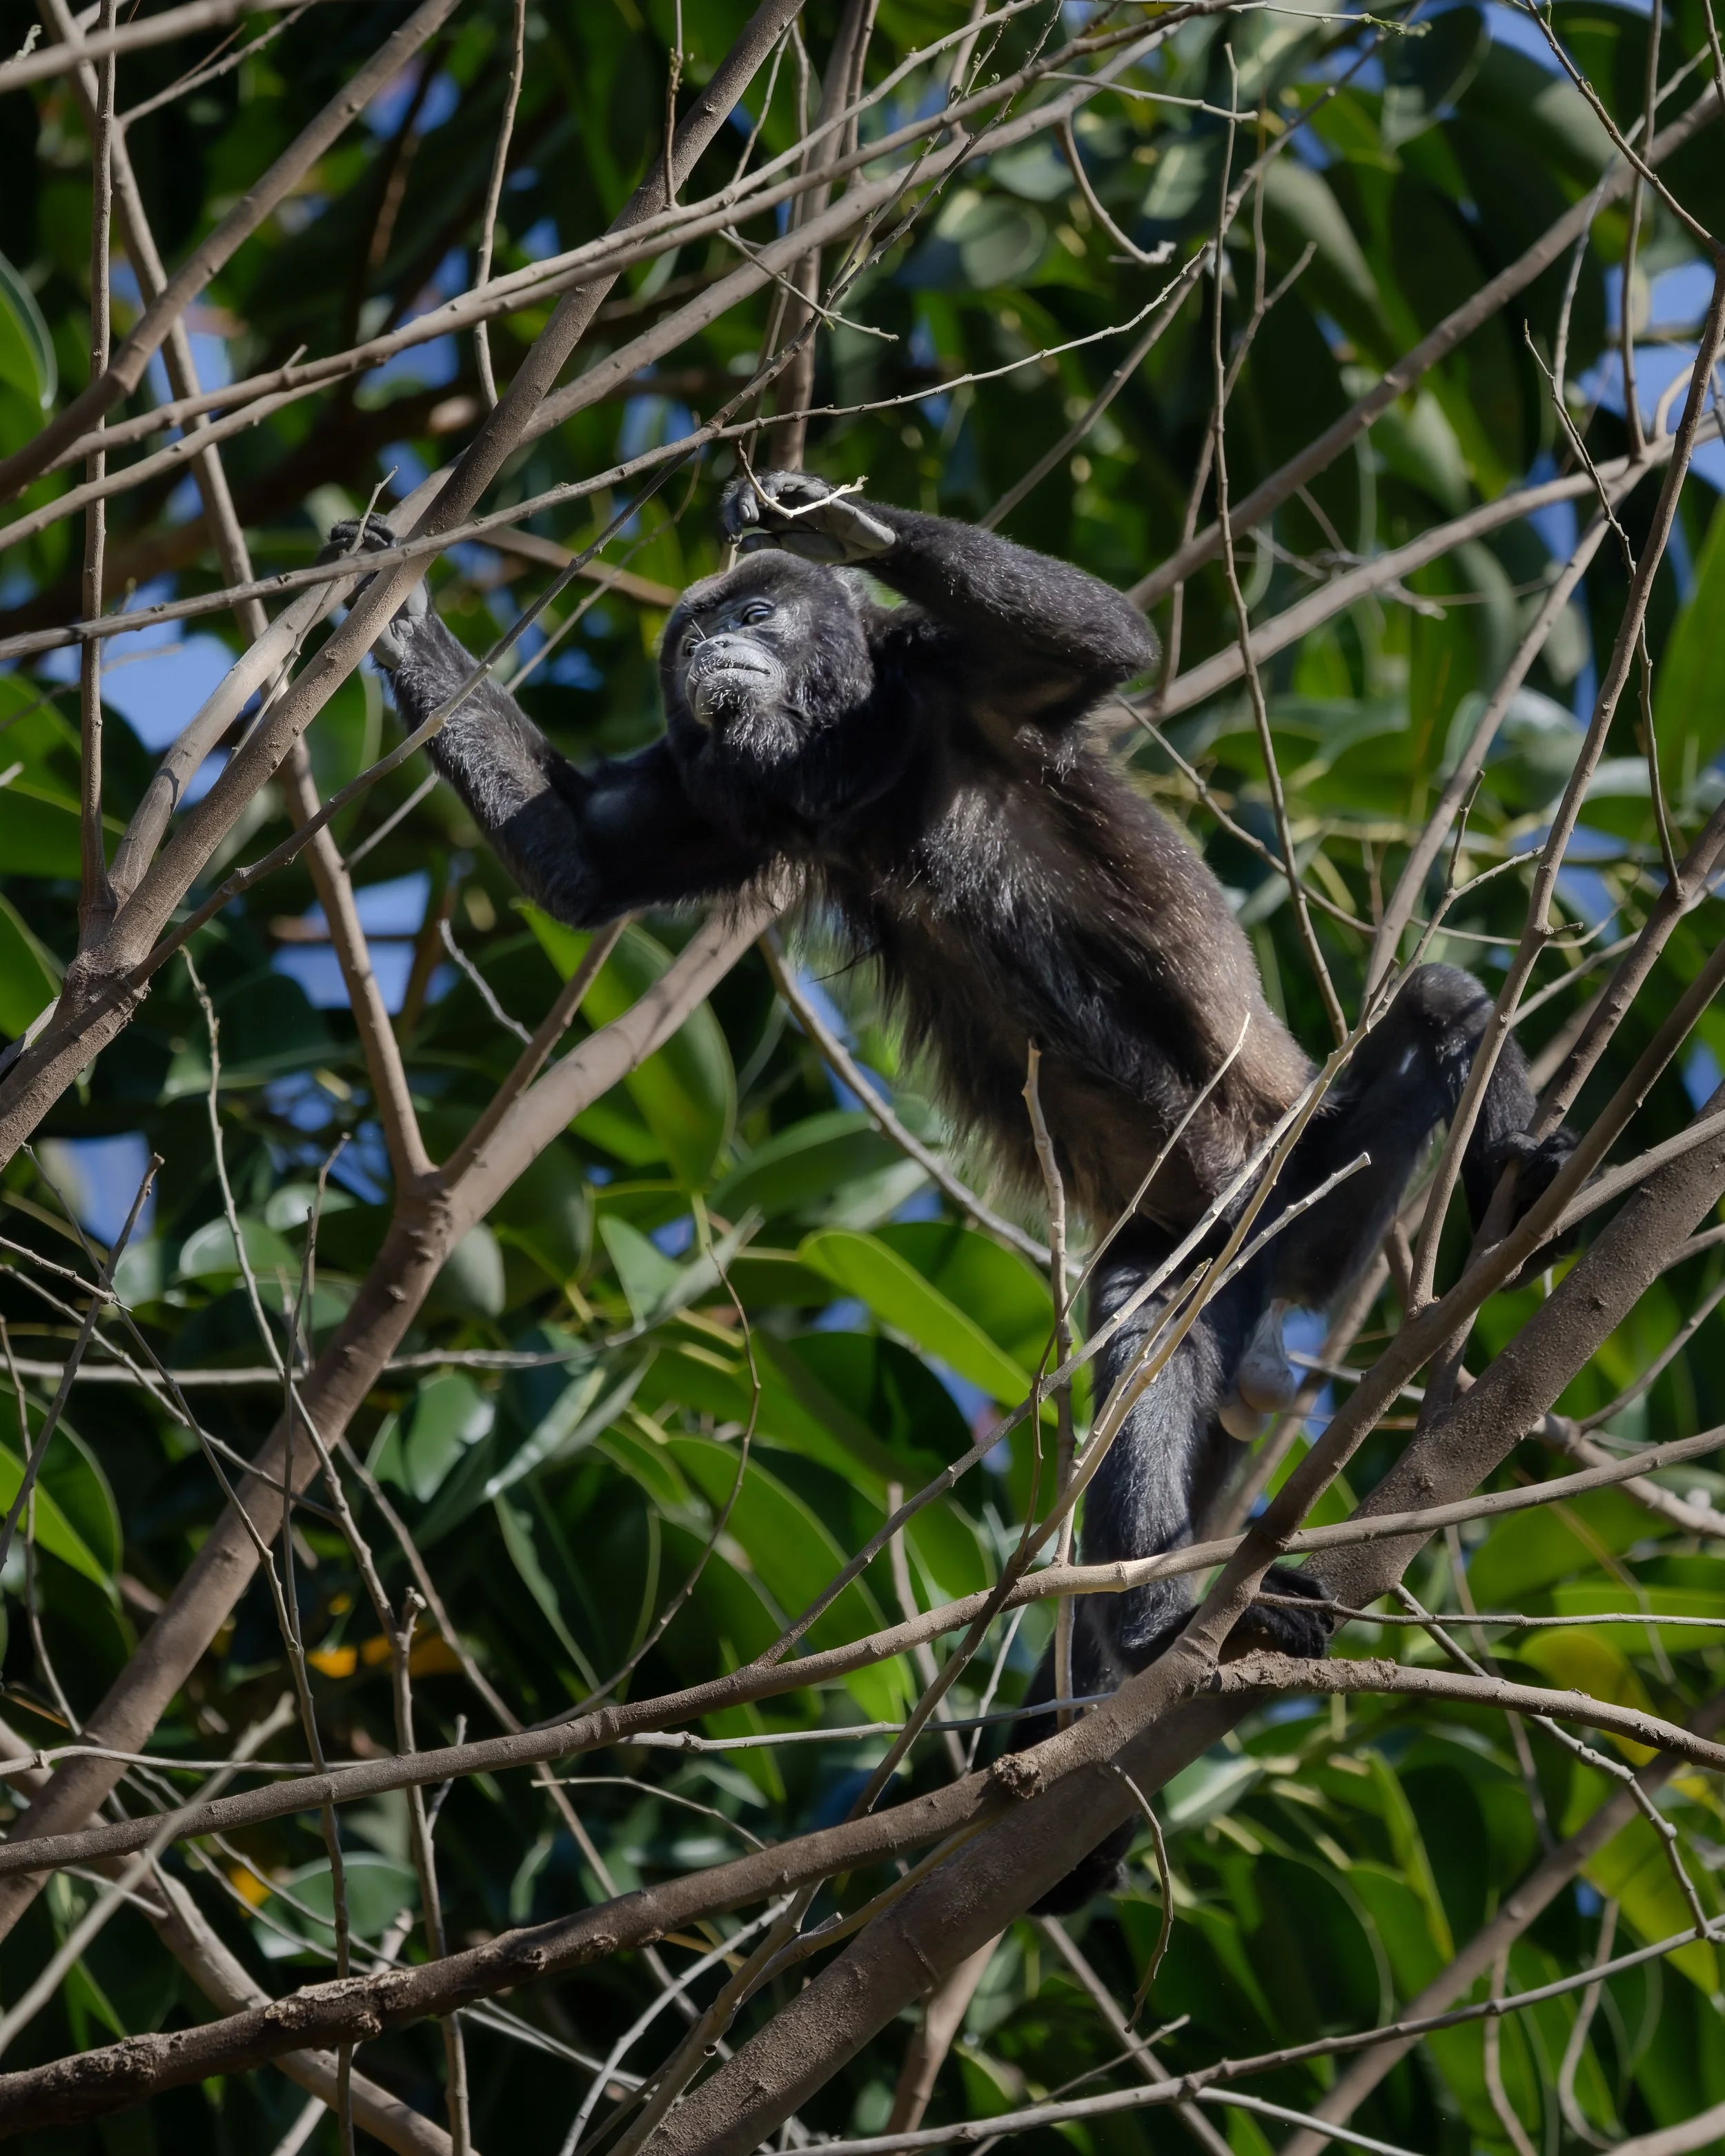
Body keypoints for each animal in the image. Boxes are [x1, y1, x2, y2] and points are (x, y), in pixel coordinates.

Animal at [327, 472, 1573, 1898]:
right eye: (691, 634)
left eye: (752, 613)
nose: (702, 651)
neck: (845, 761)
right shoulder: (712, 792)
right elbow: (587, 860)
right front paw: (393, 602)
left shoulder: (959, 687)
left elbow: (1108, 642)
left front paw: (832, 522)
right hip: (1213, 1244)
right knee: (1147, 1308)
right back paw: (1154, 1629)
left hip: (1312, 1193)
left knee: (1441, 1000)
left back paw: (1514, 1193)